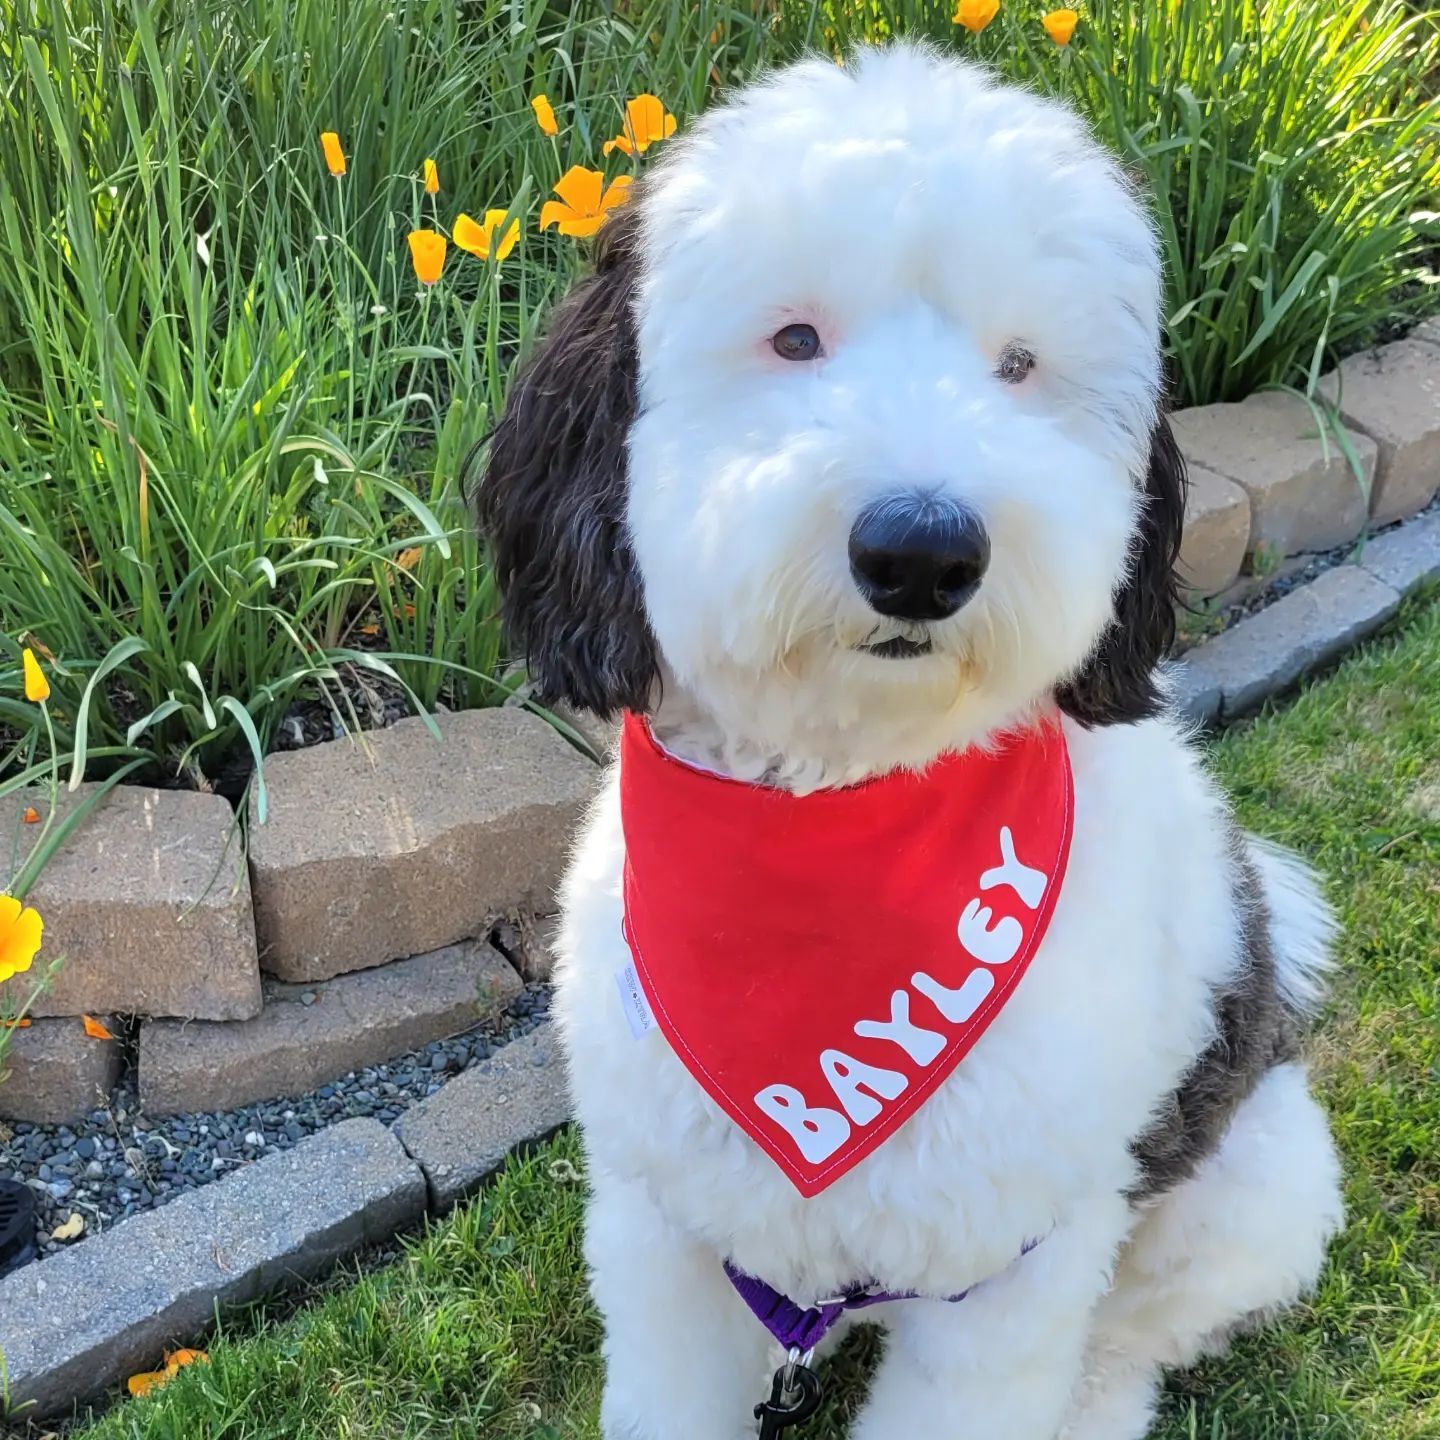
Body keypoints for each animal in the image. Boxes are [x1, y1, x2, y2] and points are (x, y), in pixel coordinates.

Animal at [478, 47, 1342, 1440]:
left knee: (1132, 1336)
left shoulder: (1009, 1273)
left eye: (1020, 365)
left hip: (1253, 1183)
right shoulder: (660, 1228)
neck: (834, 811)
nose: (923, 551)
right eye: (794, 338)